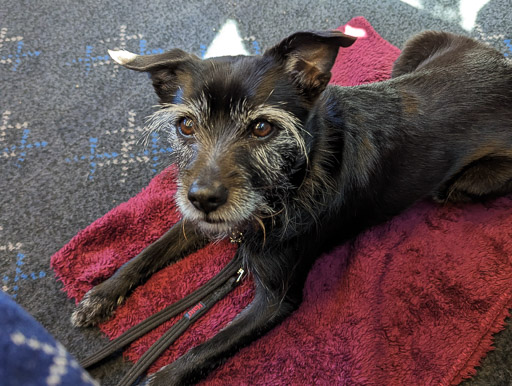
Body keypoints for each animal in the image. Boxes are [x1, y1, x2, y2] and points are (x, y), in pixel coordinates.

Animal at [72, 29, 512, 382]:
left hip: (469, 182)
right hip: (416, 46)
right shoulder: (207, 216)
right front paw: (103, 295)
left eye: (263, 127)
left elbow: (200, 352)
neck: (293, 181)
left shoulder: (275, 300)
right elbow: (150, 251)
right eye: (185, 125)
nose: (203, 199)